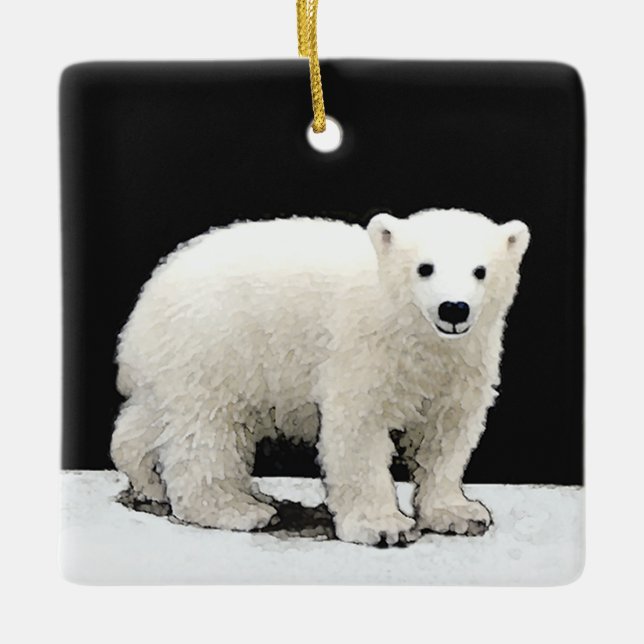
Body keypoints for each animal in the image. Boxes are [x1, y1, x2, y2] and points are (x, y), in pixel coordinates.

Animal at [111, 209, 530, 546]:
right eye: (425, 267)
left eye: (480, 271)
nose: (454, 308)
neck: (413, 332)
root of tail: (148, 298)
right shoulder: (363, 349)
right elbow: (358, 430)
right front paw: (383, 526)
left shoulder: (463, 364)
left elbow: (445, 436)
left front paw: (460, 513)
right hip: (215, 347)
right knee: (207, 432)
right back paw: (237, 508)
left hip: (175, 364)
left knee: (149, 421)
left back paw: (150, 481)